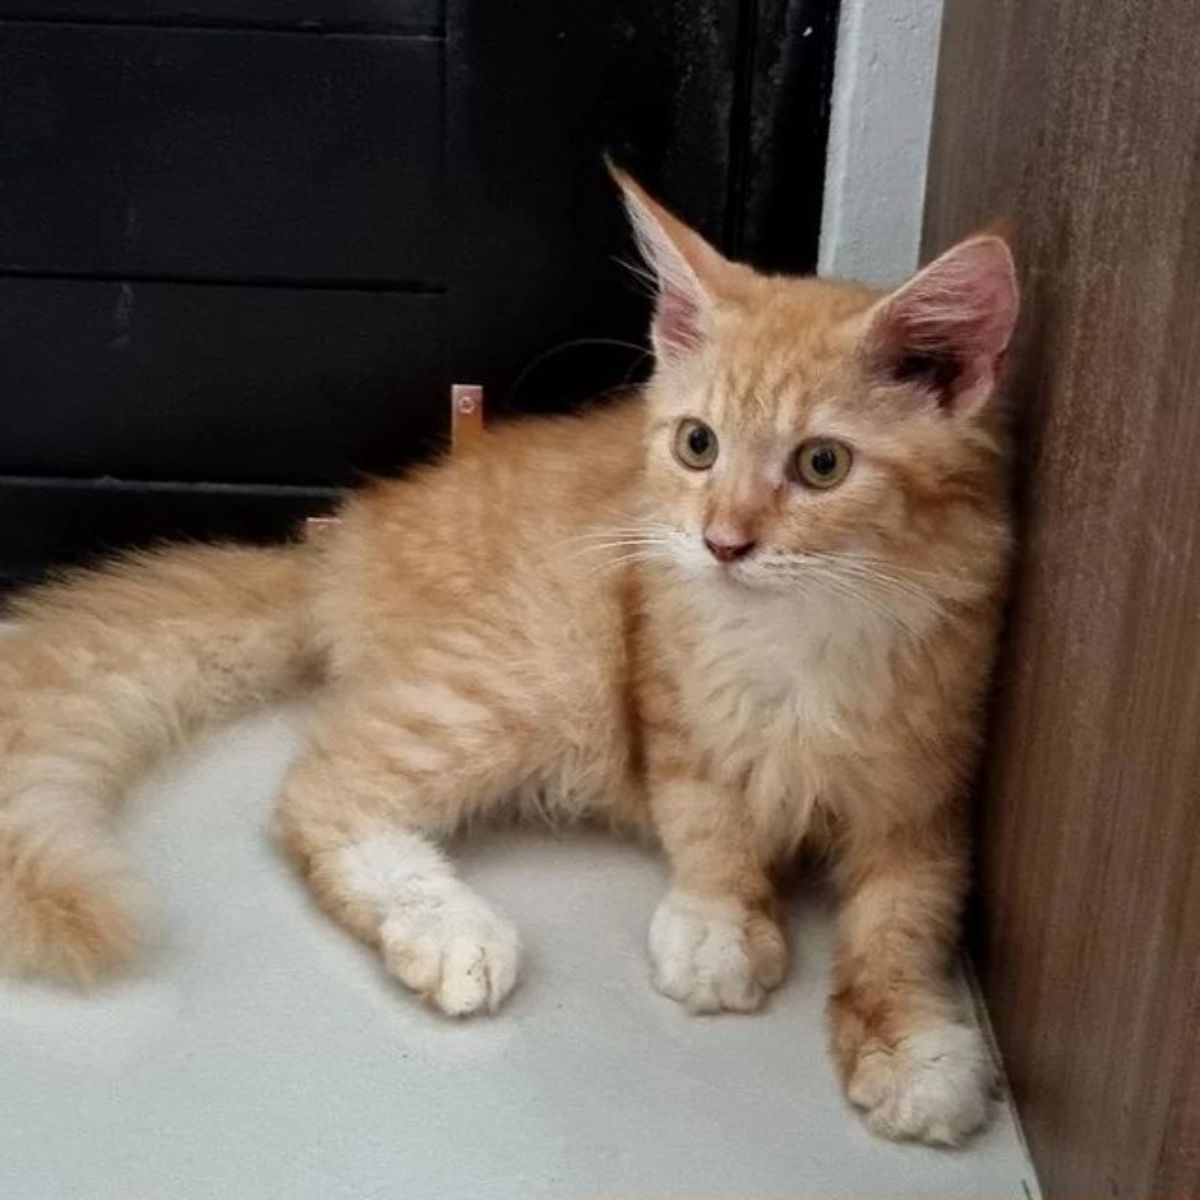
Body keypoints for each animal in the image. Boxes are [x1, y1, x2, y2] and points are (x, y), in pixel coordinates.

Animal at [0, 175, 1017, 1142]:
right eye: (698, 445)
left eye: (821, 465)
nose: (722, 543)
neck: (797, 639)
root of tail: (339, 546)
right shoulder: (664, 698)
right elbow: (710, 827)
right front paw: (720, 924)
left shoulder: (929, 788)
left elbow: (905, 924)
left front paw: (913, 1044)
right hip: (529, 664)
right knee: (323, 792)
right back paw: (447, 929)